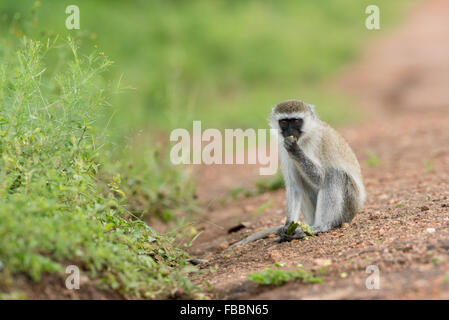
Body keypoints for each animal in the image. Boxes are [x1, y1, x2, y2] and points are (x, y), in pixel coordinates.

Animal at [228, 99, 364, 249]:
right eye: (284, 122)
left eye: (296, 121)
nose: (290, 132)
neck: (304, 138)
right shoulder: (282, 147)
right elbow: (294, 186)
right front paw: (287, 226)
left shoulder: (316, 141)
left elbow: (321, 178)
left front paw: (295, 150)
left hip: (350, 204)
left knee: (333, 175)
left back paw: (321, 226)